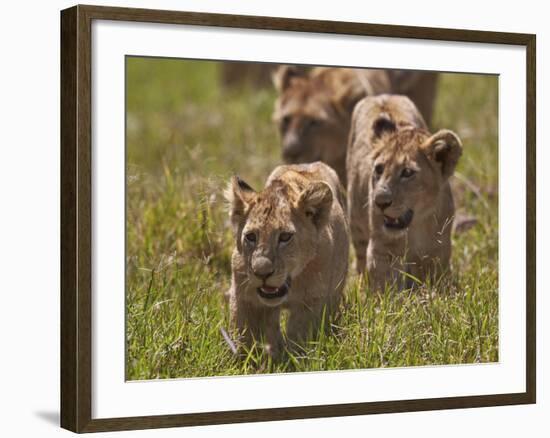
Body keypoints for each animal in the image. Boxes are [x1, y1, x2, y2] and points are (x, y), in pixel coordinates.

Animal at [225, 162, 350, 360]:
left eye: (285, 237)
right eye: (251, 237)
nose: (262, 273)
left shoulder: (312, 302)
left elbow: (300, 339)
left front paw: (292, 360)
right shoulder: (245, 297)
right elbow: (244, 337)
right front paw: (245, 361)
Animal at [350, 94, 462, 290]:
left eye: (407, 172)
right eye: (379, 169)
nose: (380, 202)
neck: (416, 226)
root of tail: (382, 96)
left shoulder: (437, 250)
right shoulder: (383, 248)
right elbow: (386, 285)